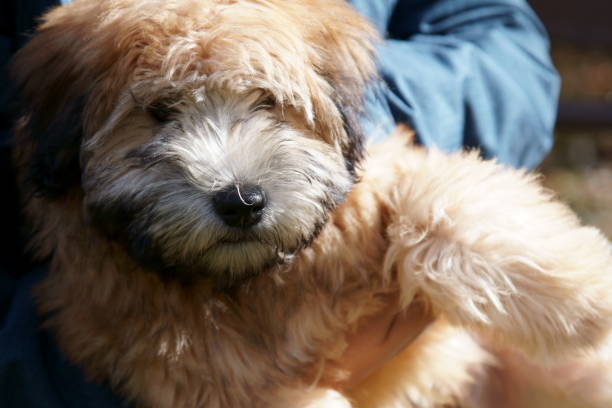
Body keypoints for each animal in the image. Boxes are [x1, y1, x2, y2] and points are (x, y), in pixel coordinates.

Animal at [10, 0, 612, 408]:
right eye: (160, 111)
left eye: (267, 101)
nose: (242, 202)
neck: (256, 281)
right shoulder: (165, 366)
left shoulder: (381, 179)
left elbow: (443, 202)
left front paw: (582, 295)